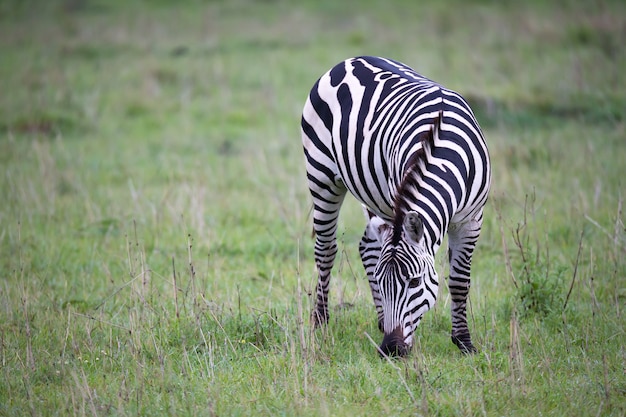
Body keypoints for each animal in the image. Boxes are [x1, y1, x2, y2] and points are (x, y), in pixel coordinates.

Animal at [300, 54, 490, 354]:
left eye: (415, 281)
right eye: (381, 281)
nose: (391, 348)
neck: (442, 146)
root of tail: (350, 60)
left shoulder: (472, 219)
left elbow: (460, 282)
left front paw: (464, 342)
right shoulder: (398, 196)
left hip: (372, 193)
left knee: (368, 246)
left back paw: (379, 320)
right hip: (322, 175)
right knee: (326, 250)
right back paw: (320, 319)